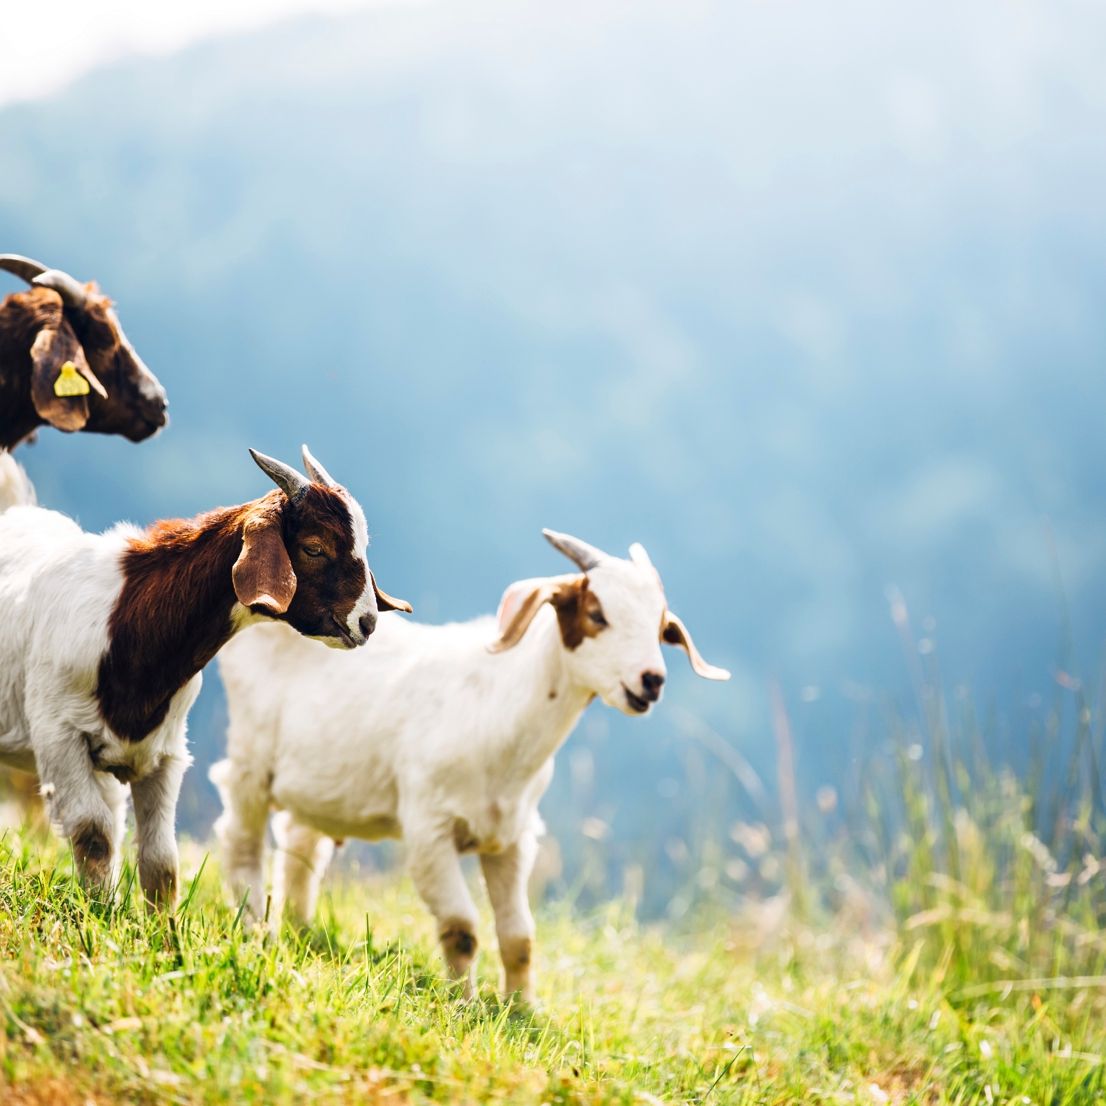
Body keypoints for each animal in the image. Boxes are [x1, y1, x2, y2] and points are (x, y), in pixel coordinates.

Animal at [0, 445, 410, 909]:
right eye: (314, 547)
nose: (367, 623)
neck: (127, 621)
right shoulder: (59, 736)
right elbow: (94, 833)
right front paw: (100, 912)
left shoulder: (164, 753)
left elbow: (161, 861)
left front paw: (158, 927)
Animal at [212, 529, 729, 1001]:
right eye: (597, 614)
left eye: (661, 627)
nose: (651, 681)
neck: (499, 712)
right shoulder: (429, 828)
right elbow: (462, 928)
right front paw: (463, 1001)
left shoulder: (513, 837)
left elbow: (519, 936)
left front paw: (520, 1009)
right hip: (250, 760)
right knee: (240, 841)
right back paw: (255, 929)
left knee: (301, 846)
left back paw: (299, 932)